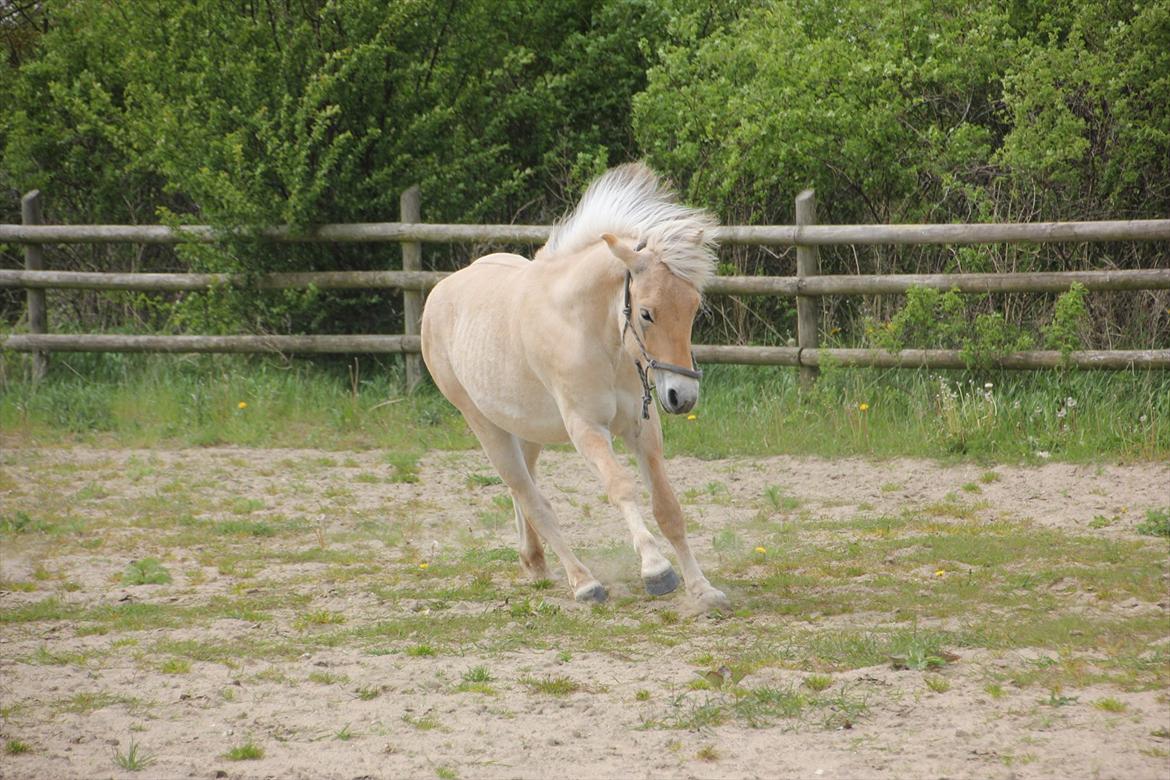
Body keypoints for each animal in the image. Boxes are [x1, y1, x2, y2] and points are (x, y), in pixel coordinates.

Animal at [421, 164, 730, 612]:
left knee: (525, 490)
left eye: (693, 307)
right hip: (485, 426)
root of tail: (439, 294)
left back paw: (534, 562)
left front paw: (703, 589)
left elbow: (668, 507)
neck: (593, 333)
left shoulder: (641, 426)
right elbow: (620, 488)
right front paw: (656, 570)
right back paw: (584, 582)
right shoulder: (586, 428)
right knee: (532, 498)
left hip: (525, 430)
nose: (681, 397)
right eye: (646, 313)